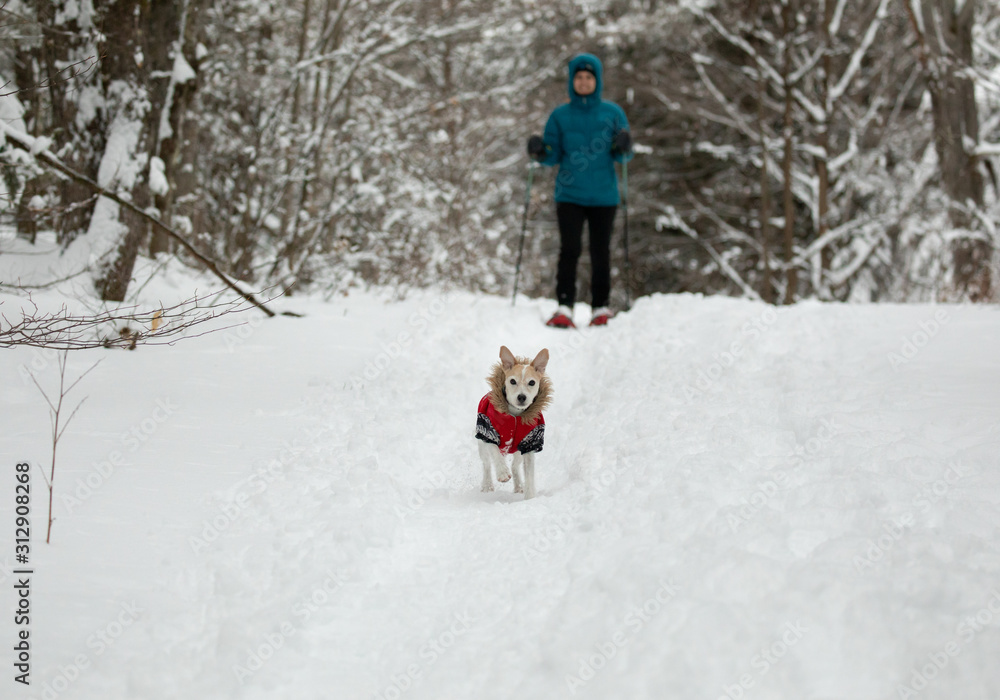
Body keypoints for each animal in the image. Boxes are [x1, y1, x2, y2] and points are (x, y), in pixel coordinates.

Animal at [472, 344, 552, 498]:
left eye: (532, 382)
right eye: (512, 381)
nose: (521, 397)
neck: (515, 415)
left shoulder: (530, 443)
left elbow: (529, 474)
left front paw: (530, 497)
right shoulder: (488, 433)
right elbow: (495, 452)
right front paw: (503, 472)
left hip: (518, 450)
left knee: (515, 465)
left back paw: (519, 486)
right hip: (481, 443)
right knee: (486, 464)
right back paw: (487, 485)